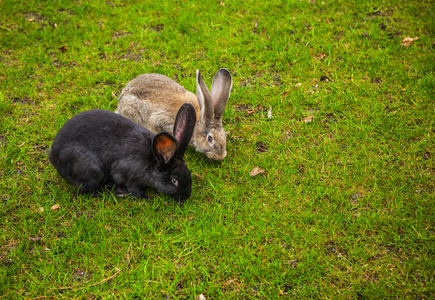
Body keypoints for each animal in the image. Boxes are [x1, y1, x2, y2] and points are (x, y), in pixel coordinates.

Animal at [48, 102, 197, 199]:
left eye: (188, 173)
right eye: (174, 181)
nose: (187, 195)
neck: (152, 161)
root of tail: (53, 156)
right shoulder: (126, 172)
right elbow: (132, 188)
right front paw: (144, 196)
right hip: (90, 167)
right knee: (83, 189)